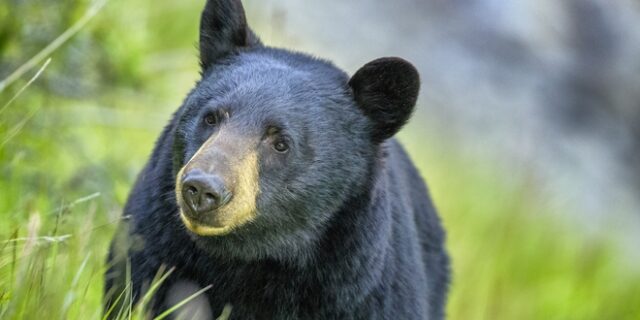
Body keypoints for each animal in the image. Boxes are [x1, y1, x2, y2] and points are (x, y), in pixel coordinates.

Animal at [105, 0, 450, 318]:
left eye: (281, 143)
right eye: (211, 117)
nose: (202, 189)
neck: (252, 257)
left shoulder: (364, 292)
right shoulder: (152, 244)